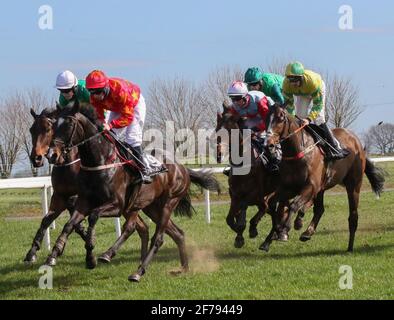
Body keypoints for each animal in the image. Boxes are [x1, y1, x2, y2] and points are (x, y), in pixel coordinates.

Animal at [23, 107, 149, 264]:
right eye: (31, 130)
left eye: (47, 129)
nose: (36, 158)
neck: (68, 165)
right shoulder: (60, 195)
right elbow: (47, 220)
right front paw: (32, 252)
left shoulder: (77, 197)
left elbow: (76, 221)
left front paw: (83, 239)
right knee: (139, 226)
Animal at [47, 101, 219, 282]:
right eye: (54, 125)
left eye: (69, 124)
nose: (52, 154)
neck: (101, 161)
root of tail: (183, 168)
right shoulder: (84, 202)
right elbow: (69, 224)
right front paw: (56, 253)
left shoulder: (117, 205)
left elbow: (94, 216)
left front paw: (91, 251)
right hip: (151, 207)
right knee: (176, 233)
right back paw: (183, 267)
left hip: (168, 203)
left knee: (157, 238)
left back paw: (136, 270)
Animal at [262, 106, 384, 251]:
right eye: (266, 118)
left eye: (280, 118)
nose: (268, 144)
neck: (299, 152)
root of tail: (357, 142)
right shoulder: (289, 187)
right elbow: (273, 204)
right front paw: (270, 237)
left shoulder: (310, 186)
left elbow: (293, 205)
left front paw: (285, 229)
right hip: (321, 188)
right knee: (320, 209)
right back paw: (307, 232)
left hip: (353, 185)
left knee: (353, 216)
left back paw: (350, 247)